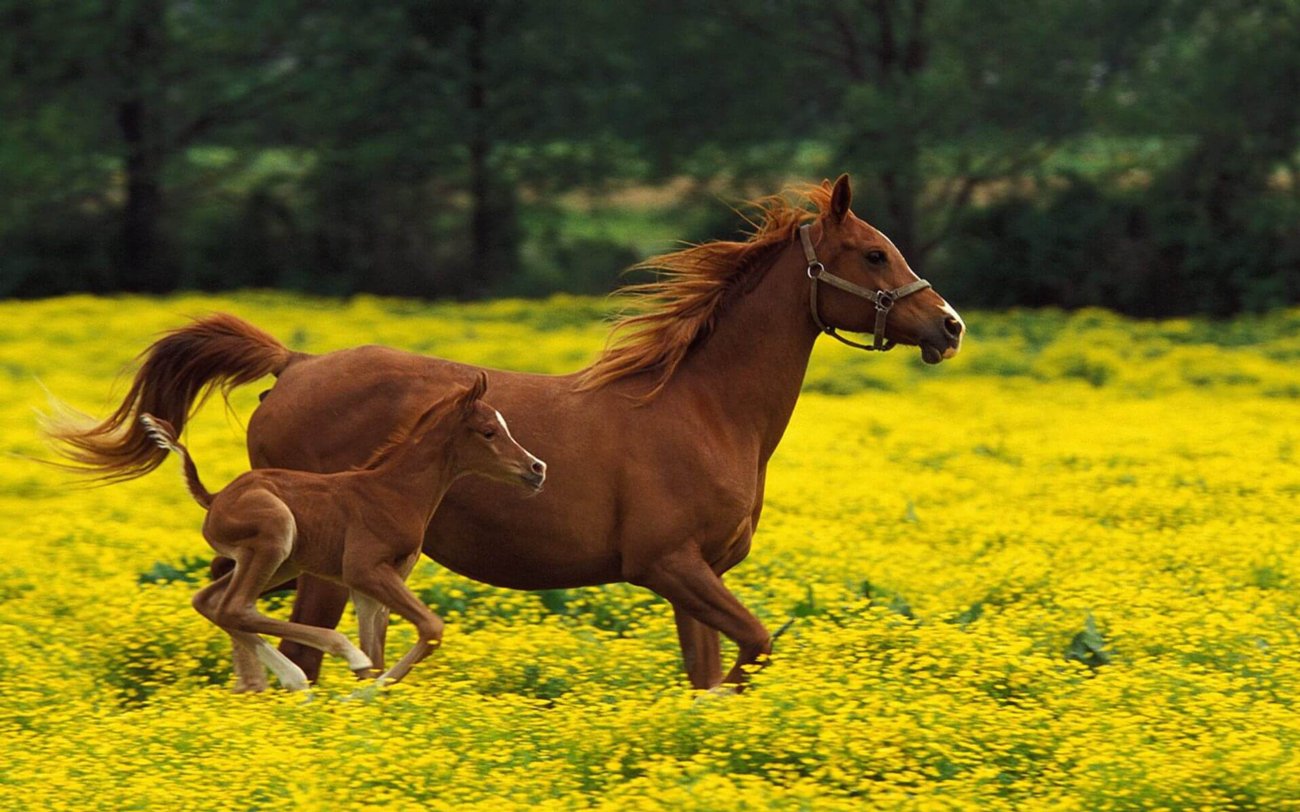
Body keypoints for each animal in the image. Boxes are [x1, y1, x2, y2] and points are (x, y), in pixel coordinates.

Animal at [138, 372, 546, 691]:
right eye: (489, 432)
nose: (537, 468)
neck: (395, 492)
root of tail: (215, 497)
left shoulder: (372, 583)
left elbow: (380, 651)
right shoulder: (363, 569)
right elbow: (430, 628)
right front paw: (363, 692)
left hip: (282, 562)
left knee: (212, 602)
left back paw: (291, 679)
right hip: (275, 535)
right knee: (235, 606)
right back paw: (330, 660)